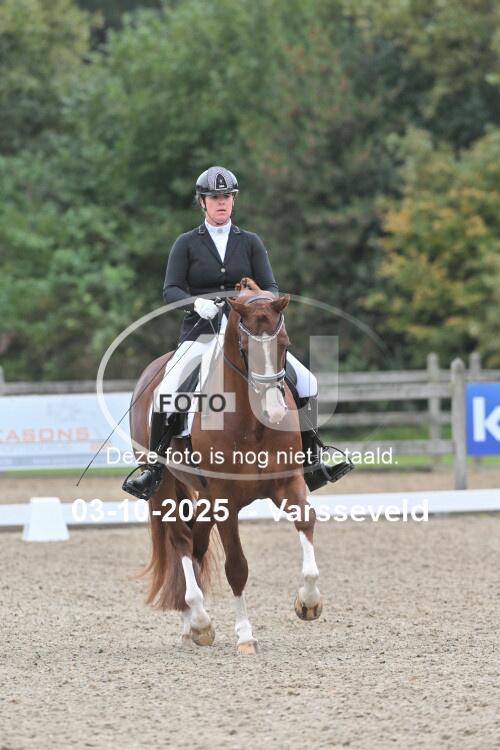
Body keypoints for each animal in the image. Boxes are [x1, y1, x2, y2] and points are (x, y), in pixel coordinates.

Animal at [129, 278, 323, 653]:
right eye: (245, 346)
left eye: (285, 344)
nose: (275, 412)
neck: (251, 422)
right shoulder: (226, 501)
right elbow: (237, 566)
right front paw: (245, 636)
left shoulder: (287, 483)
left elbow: (306, 521)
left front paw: (308, 603)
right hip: (164, 487)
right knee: (180, 540)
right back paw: (199, 621)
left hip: (203, 496)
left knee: (197, 542)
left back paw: (191, 624)